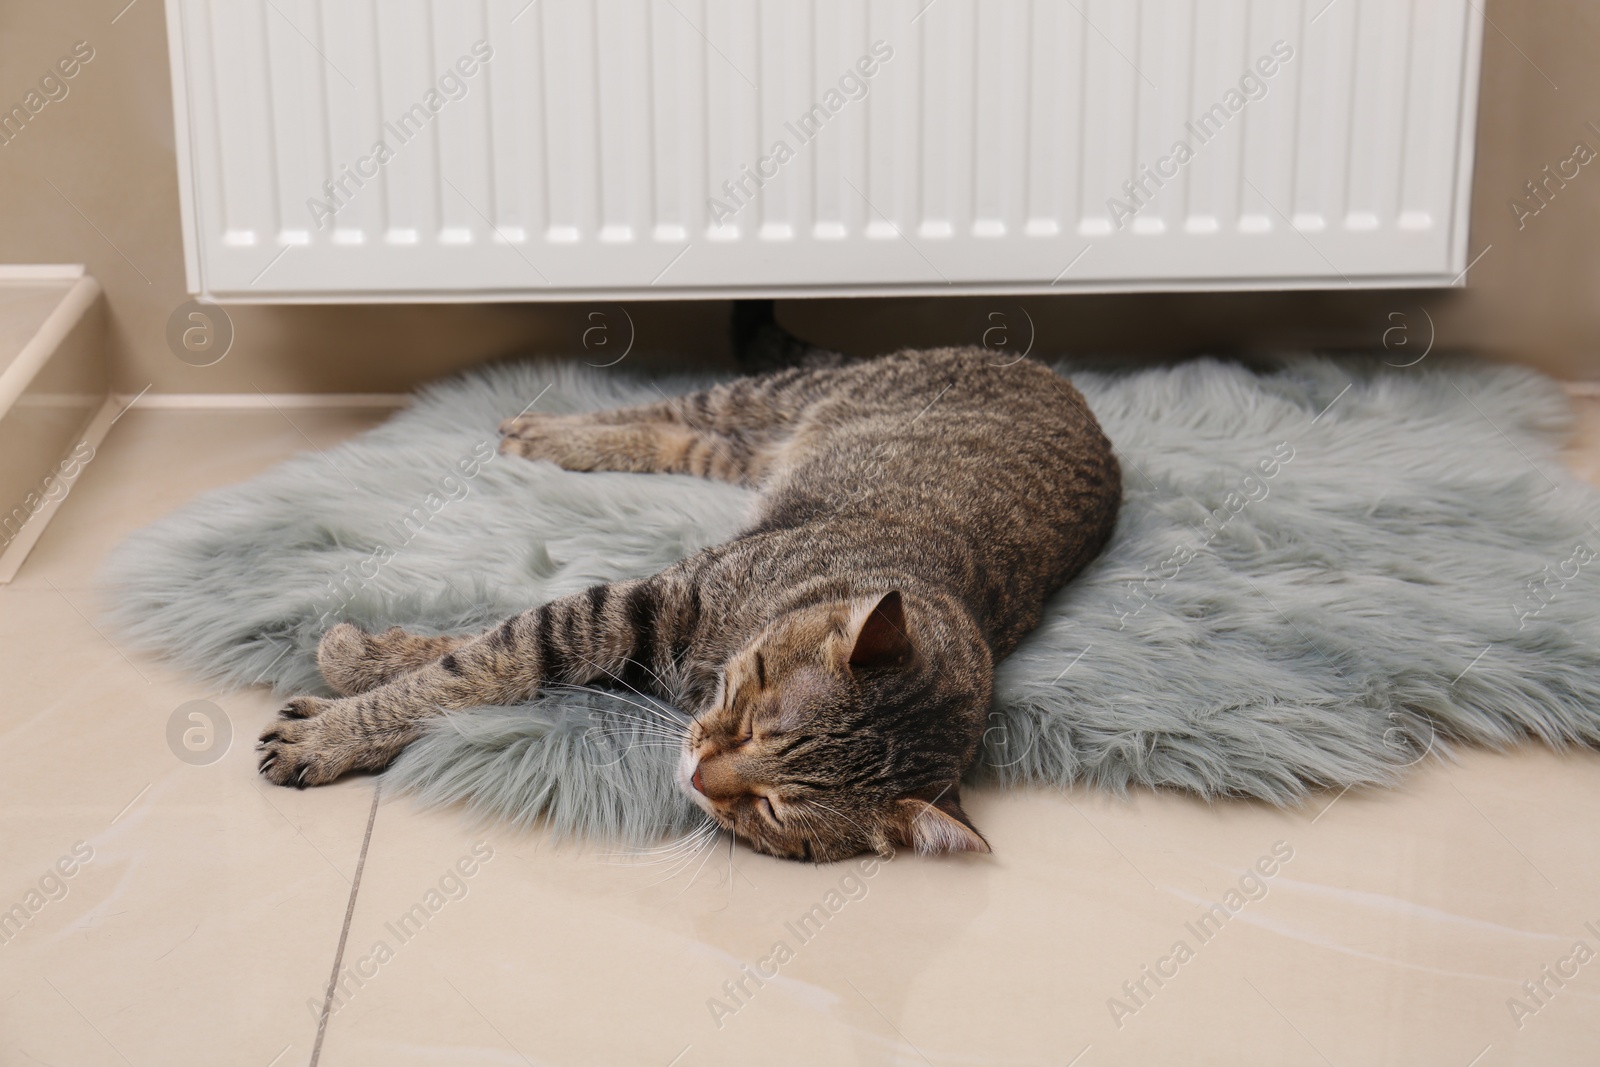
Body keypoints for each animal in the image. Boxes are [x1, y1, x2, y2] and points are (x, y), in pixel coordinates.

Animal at [256, 350, 1120, 857]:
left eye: (772, 809)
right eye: (758, 720)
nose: (702, 777)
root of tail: (1063, 380)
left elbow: (472, 657)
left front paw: (351, 682)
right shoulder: (634, 604)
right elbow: (478, 663)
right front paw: (343, 701)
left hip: (748, 449)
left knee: (675, 437)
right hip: (769, 395)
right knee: (671, 407)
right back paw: (542, 429)